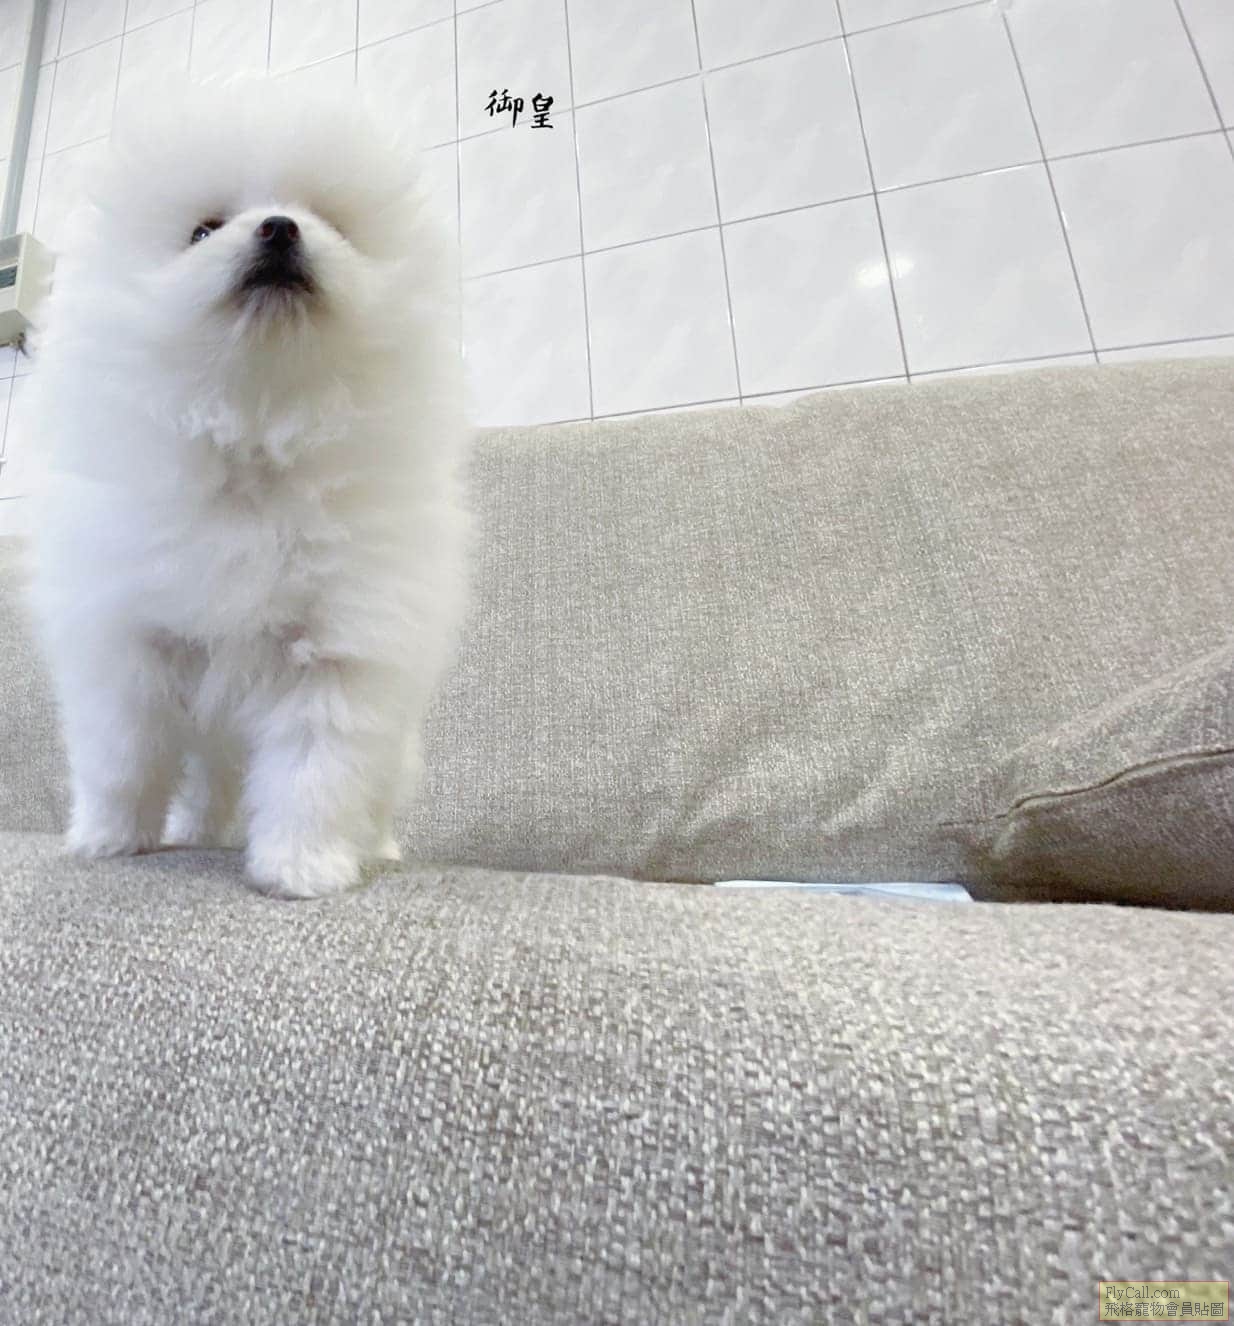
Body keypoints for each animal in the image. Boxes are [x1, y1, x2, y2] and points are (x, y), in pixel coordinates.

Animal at [23, 79, 472, 899]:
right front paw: (109, 839)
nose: (279, 227)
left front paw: (300, 868)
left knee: (372, 792)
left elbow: (313, 775)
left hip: (393, 740)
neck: (257, 435)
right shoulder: (128, 643)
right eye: (202, 230)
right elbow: (122, 758)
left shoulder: (336, 656)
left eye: (331, 222)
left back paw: (377, 847)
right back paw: (195, 830)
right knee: (210, 782)